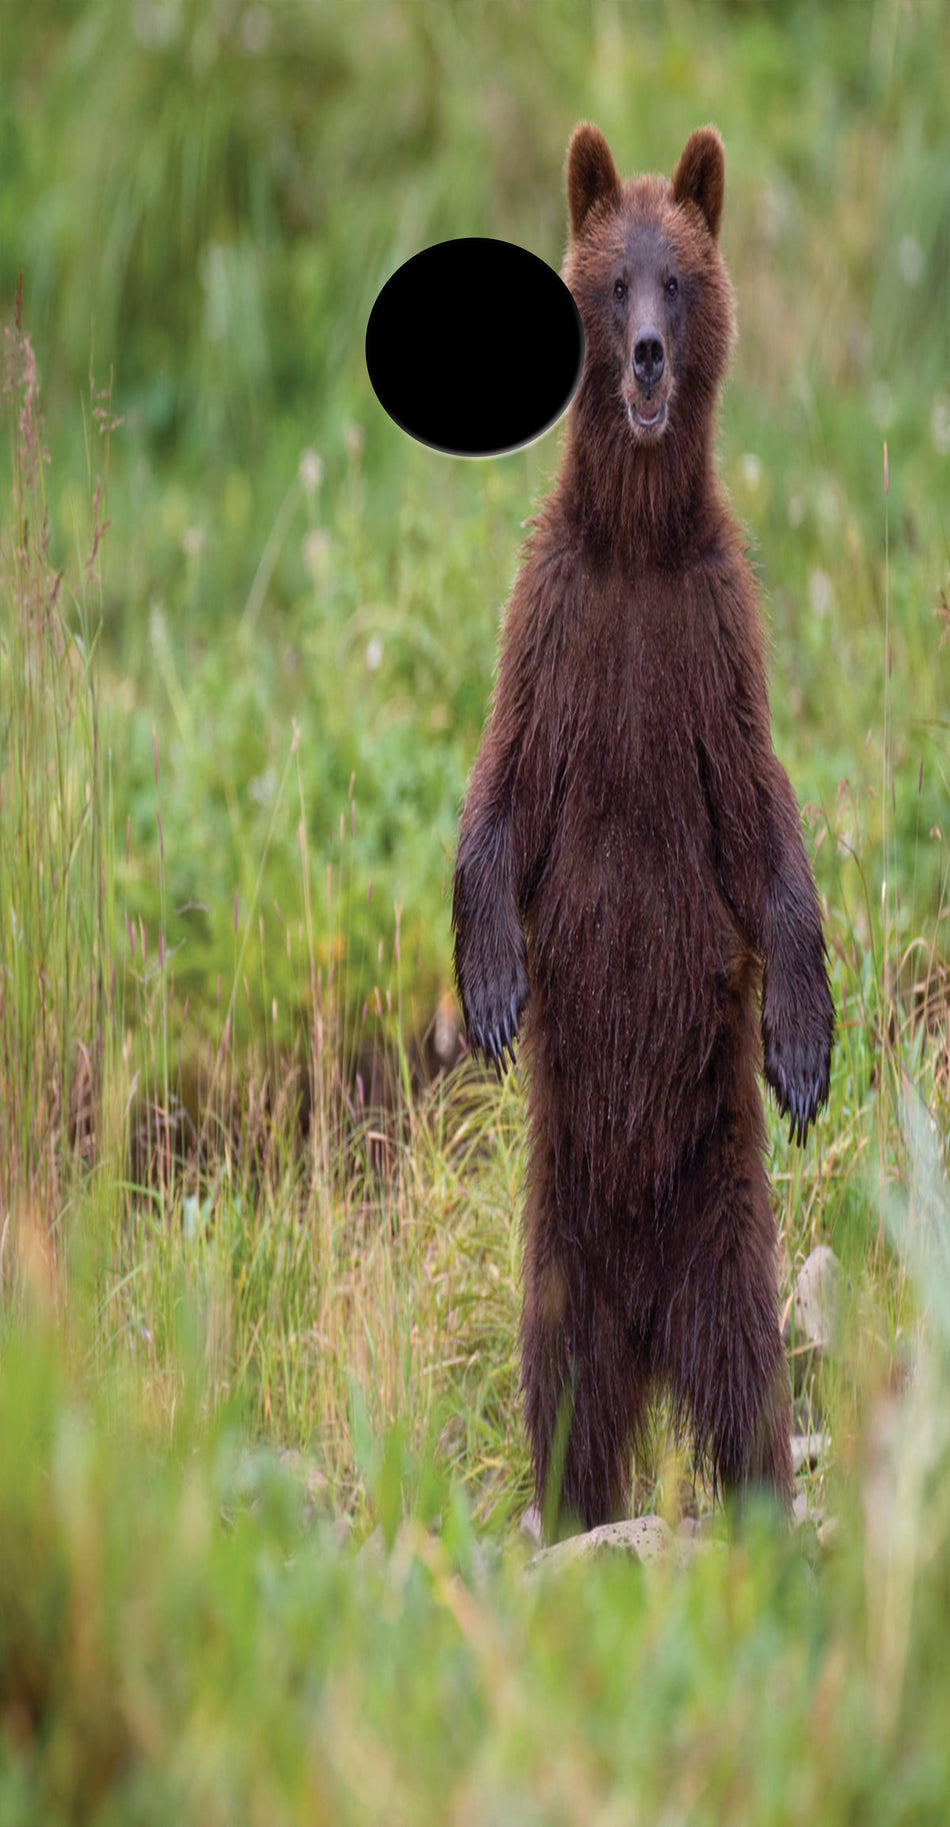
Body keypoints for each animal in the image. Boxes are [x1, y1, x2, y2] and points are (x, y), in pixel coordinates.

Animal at [451, 123, 834, 1536]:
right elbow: (498, 793)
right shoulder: (559, 629)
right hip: (557, 1237)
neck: (635, 545)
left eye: (678, 275)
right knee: (562, 1391)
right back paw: (573, 1515)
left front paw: (801, 1049)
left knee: (744, 1387)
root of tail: (648, 1329)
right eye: (616, 282)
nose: (650, 355)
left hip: (723, 1221)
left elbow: (765, 827)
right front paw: (492, 992)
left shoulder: (707, 645)